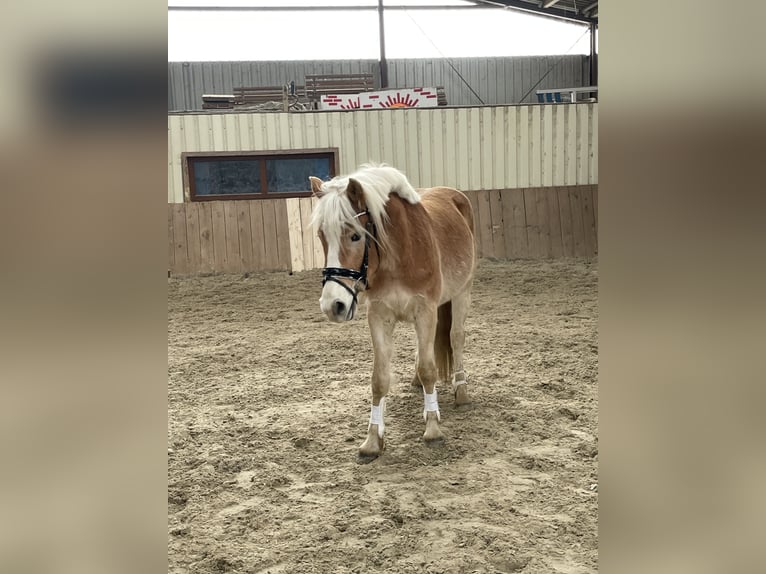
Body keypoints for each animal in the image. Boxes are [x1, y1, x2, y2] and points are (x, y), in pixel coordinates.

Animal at [309, 164, 476, 459]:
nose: (333, 306)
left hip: (462, 293)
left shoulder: (425, 311)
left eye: (355, 235)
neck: (398, 254)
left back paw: (461, 392)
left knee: (456, 338)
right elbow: (379, 378)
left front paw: (433, 428)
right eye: (321, 236)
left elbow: (429, 368)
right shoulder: (379, 316)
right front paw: (372, 440)